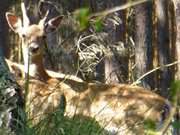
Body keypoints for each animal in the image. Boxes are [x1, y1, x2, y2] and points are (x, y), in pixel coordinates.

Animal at [5, 1, 173, 134]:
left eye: (43, 36)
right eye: (23, 35)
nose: (33, 48)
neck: (44, 76)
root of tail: (167, 107)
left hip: (133, 124)